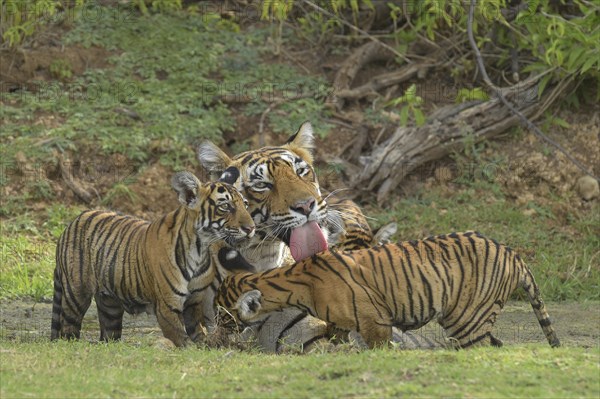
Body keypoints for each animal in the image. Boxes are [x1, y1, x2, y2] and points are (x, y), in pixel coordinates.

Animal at [50, 171, 254, 346]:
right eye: (225, 206)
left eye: (245, 204)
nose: (251, 228)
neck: (200, 249)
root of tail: (72, 223)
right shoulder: (167, 306)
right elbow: (183, 340)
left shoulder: (194, 302)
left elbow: (198, 334)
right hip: (76, 294)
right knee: (68, 329)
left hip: (110, 307)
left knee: (108, 335)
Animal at [217, 231, 564, 350]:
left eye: (224, 316)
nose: (214, 336)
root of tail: (514, 255)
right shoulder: (338, 325)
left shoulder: (375, 322)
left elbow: (379, 349)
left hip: (467, 320)